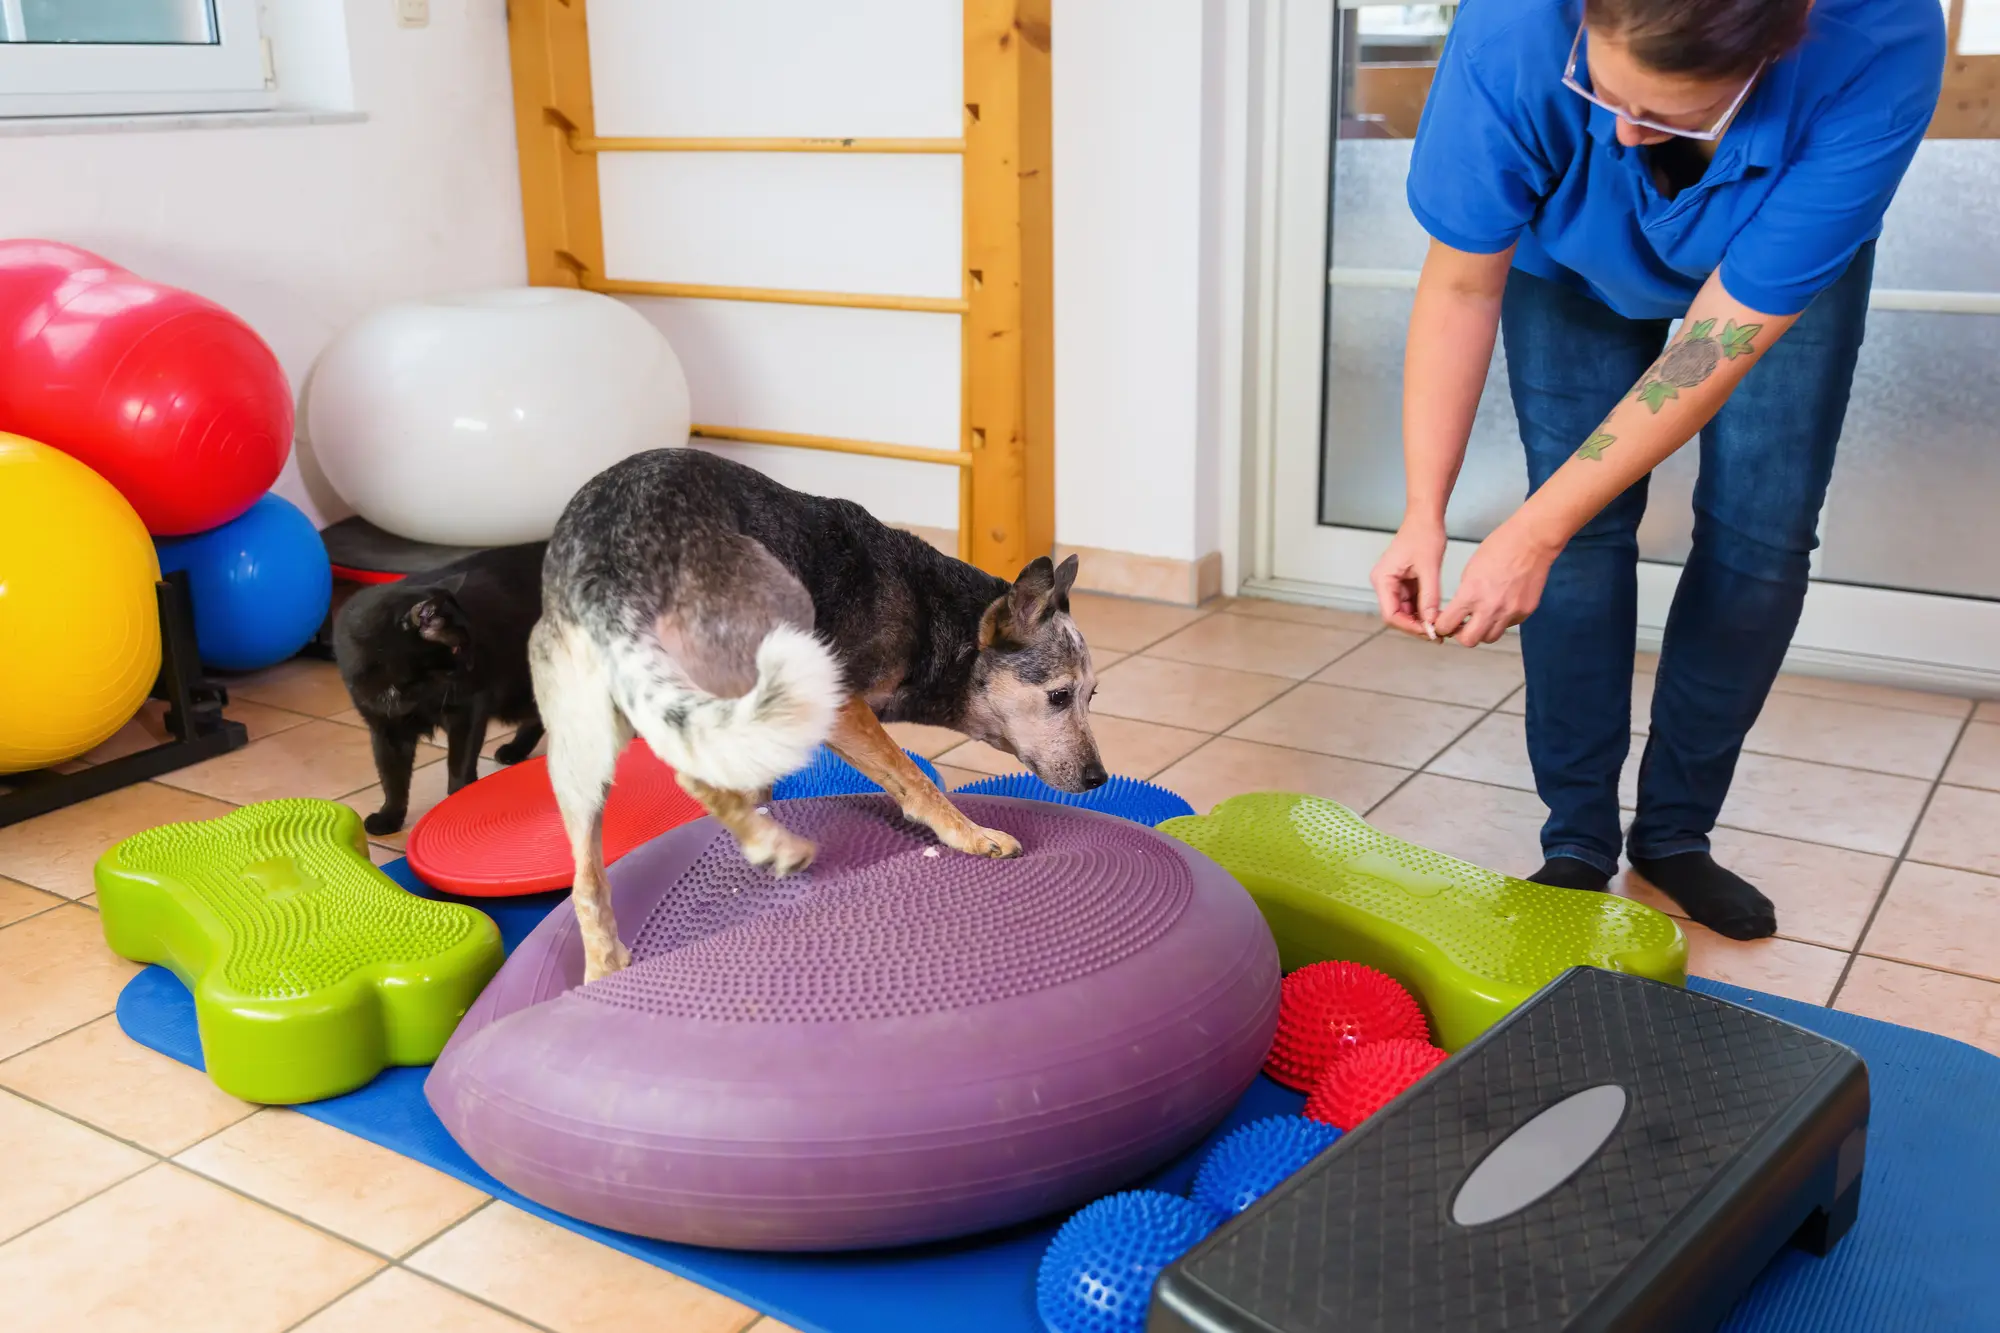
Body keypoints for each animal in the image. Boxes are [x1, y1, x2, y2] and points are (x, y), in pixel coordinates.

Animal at [332, 540, 548, 832]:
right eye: (457, 646)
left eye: (471, 641)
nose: (472, 664)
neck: (408, 688)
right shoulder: (385, 727)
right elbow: (392, 777)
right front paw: (389, 818)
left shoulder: (468, 709)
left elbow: (459, 763)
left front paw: (460, 802)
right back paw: (514, 751)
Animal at [532, 446, 1104, 976]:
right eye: (1058, 696)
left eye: (1092, 696)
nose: (1098, 778)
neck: (937, 614)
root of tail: (610, 565)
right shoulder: (842, 705)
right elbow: (912, 779)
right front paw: (971, 835)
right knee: (695, 776)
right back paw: (772, 845)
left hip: (581, 747)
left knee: (587, 879)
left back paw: (604, 965)